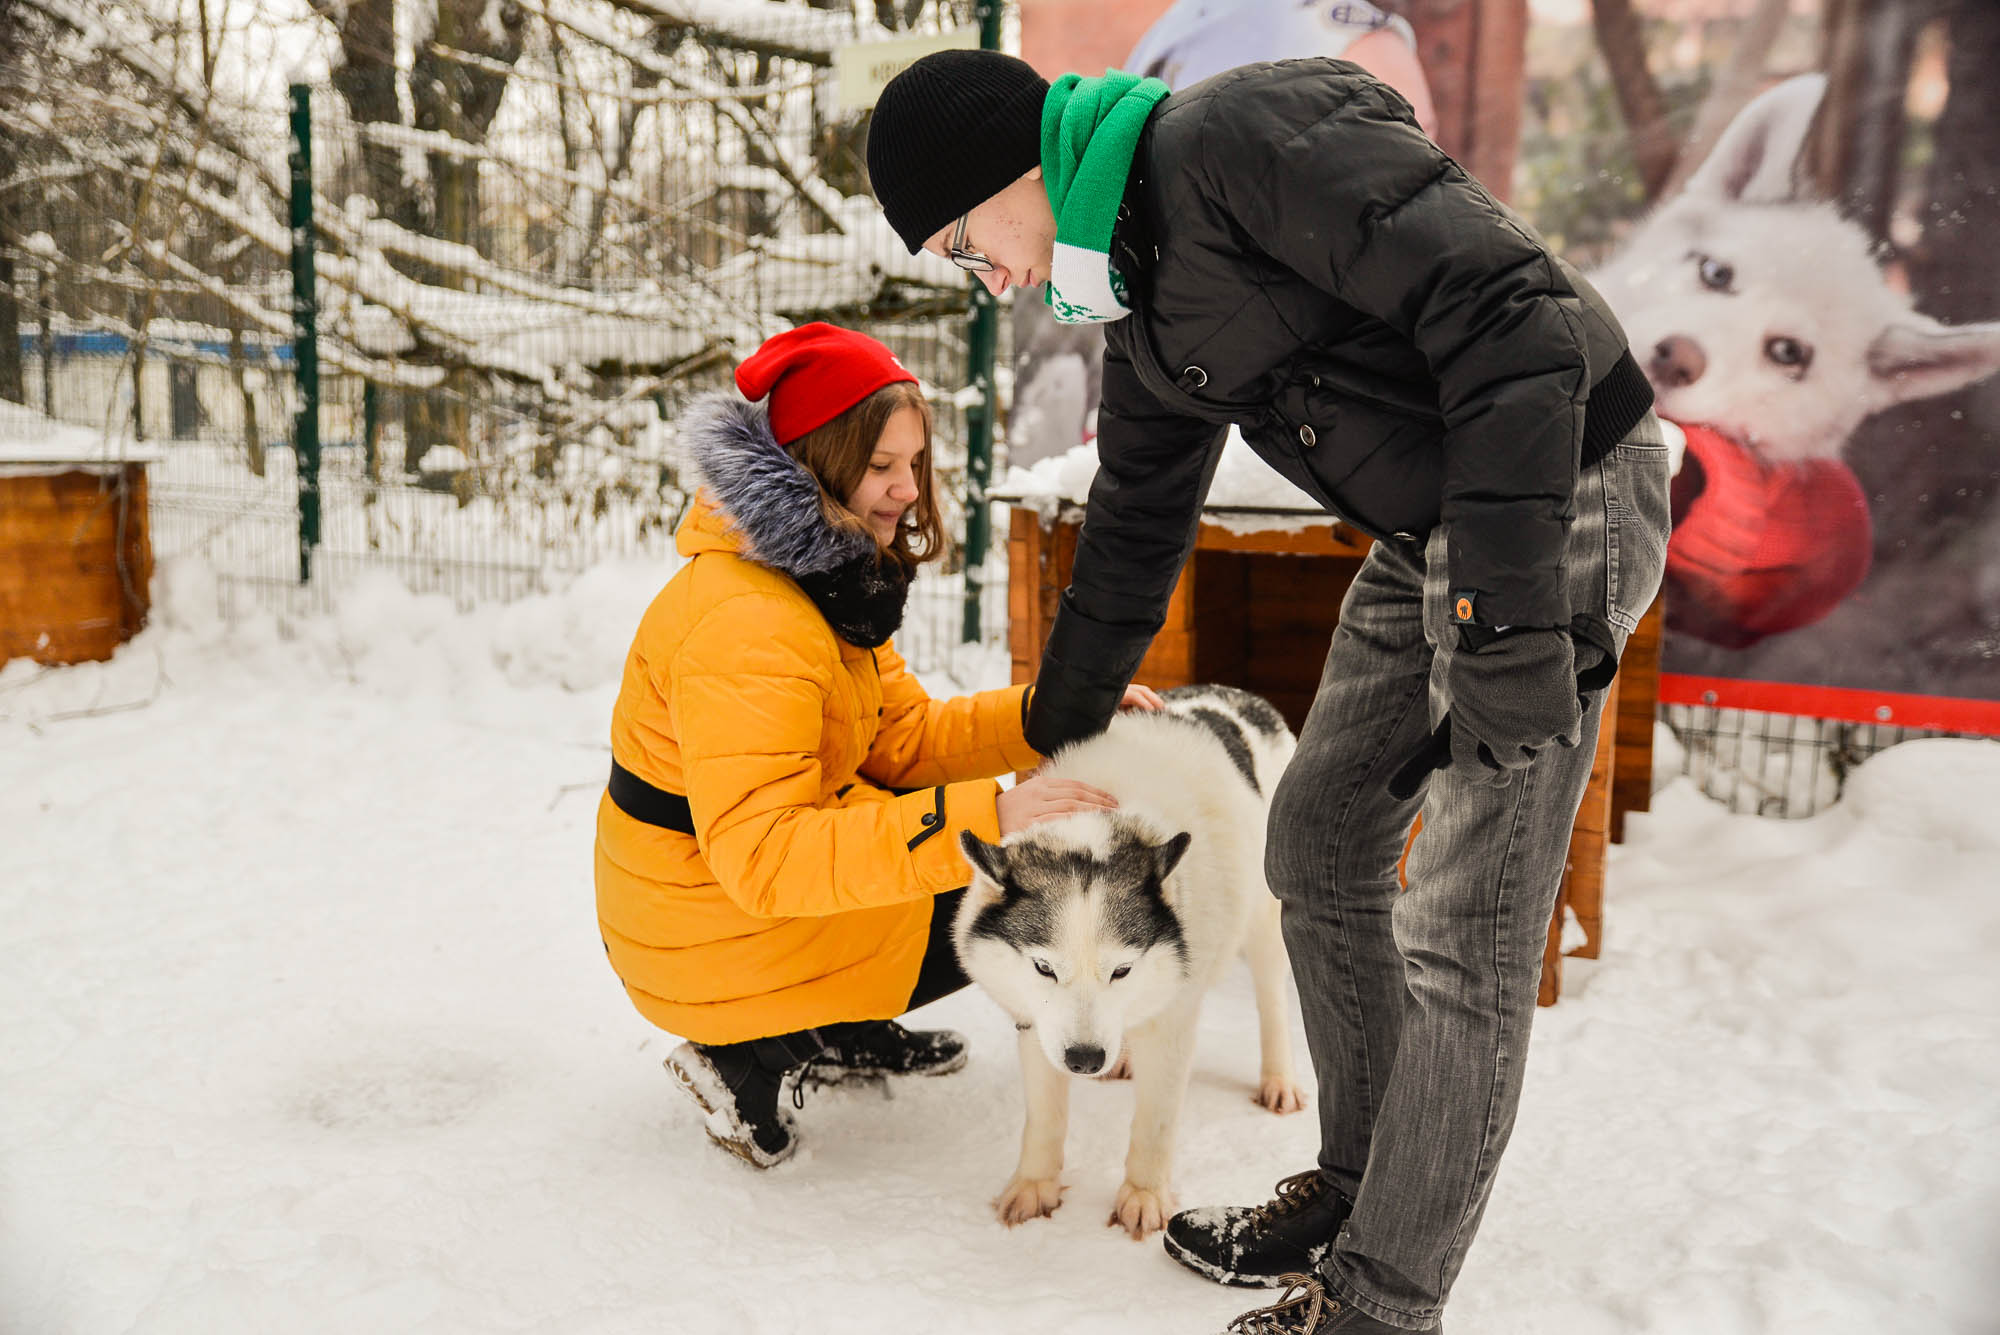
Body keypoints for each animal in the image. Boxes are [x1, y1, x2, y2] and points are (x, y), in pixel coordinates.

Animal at [956, 687, 1312, 1239]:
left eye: (1121, 971)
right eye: (1044, 969)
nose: (1084, 1059)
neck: (1104, 818)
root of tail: (1239, 696)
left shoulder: (1172, 1022)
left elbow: (1154, 1125)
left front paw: (1143, 1197)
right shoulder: (1037, 1026)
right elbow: (1045, 1118)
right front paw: (1034, 1186)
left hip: (1266, 919)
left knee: (1272, 997)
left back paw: (1278, 1080)